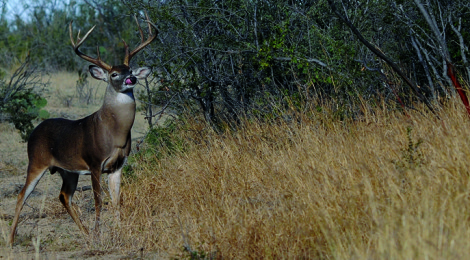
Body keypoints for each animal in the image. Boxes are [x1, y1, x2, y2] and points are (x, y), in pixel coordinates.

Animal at [8, 17, 158, 245]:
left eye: (131, 70)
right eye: (114, 74)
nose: (131, 79)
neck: (115, 135)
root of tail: (34, 131)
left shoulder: (117, 166)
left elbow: (116, 201)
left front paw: (118, 232)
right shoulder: (95, 162)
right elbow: (98, 200)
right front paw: (99, 234)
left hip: (68, 171)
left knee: (63, 196)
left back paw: (85, 232)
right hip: (36, 161)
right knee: (22, 194)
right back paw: (10, 239)